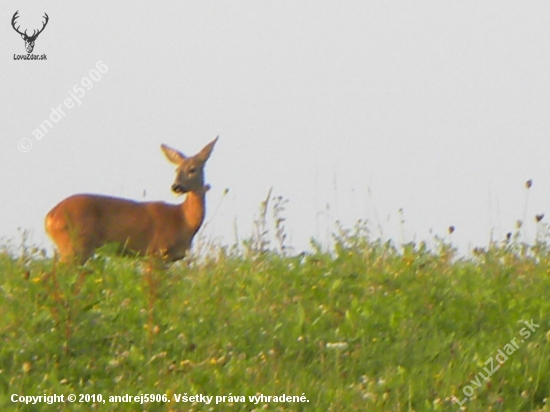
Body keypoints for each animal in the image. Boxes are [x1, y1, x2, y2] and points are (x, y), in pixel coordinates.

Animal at [45, 137, 219, 266]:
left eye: (192, 169)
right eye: (176, 170)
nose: (176, 187)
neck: (182, 219)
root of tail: (49, 217)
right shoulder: (155, 252)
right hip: (75, 245)